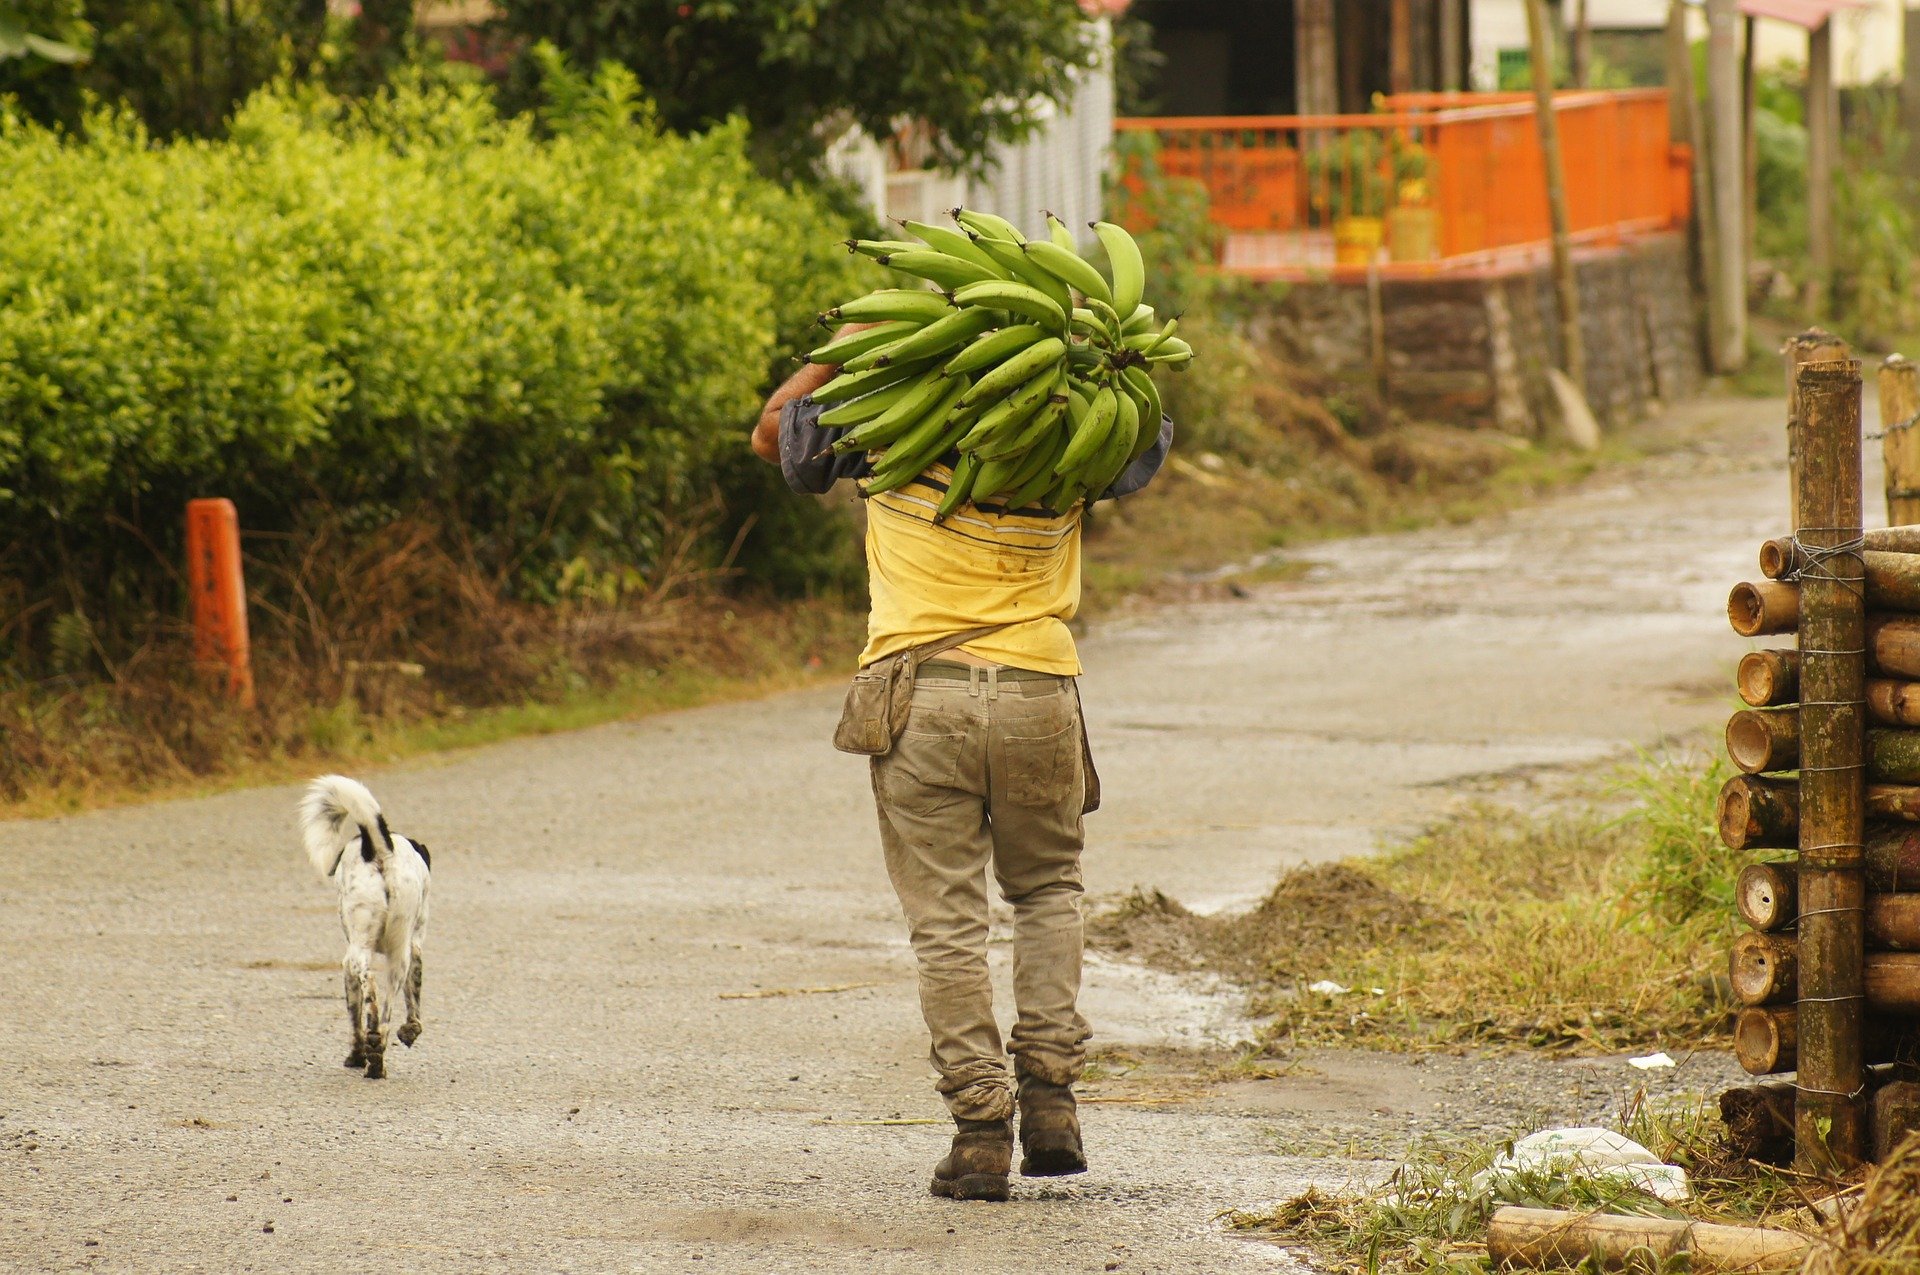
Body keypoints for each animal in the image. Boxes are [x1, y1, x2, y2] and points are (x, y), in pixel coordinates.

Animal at [295, 775, 432, 1075]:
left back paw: (371, 1048)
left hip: (360, 952)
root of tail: (381, 849)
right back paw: (377, 1057)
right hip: (398, 957)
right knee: (385, 1012)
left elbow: (354, 1020)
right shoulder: (413, 949)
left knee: (369, 986)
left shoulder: (349, 967)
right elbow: (412, 1005)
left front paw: (356, 1055)